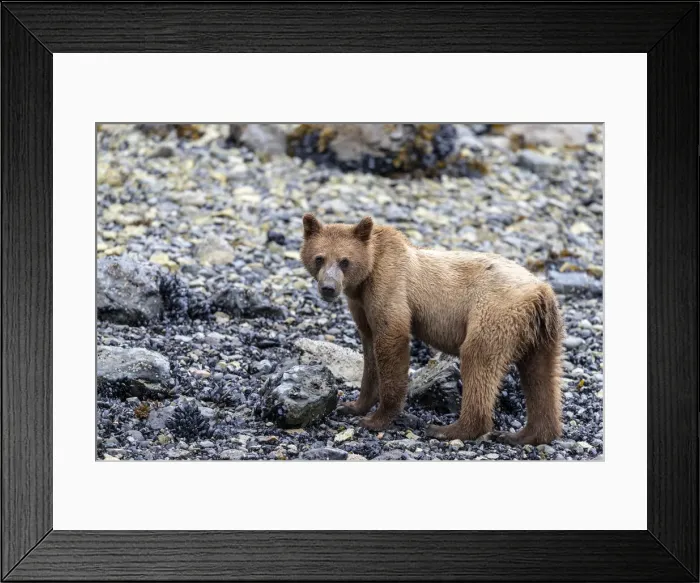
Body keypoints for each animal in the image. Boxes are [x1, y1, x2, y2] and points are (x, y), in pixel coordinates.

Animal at [300, 213, 563, 445]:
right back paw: (524, 435)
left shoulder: (390, 285)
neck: (367, 275)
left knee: (478, 360)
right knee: (541, 377)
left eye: (344, 261)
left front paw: (376, 419)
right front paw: (353, 406)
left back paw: (448, 429)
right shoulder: (361, 305)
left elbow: (391, 338)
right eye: (320, 258)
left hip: (494, 313)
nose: (329, 288)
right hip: (541, 334)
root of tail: (541, 291)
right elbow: (369, 347)